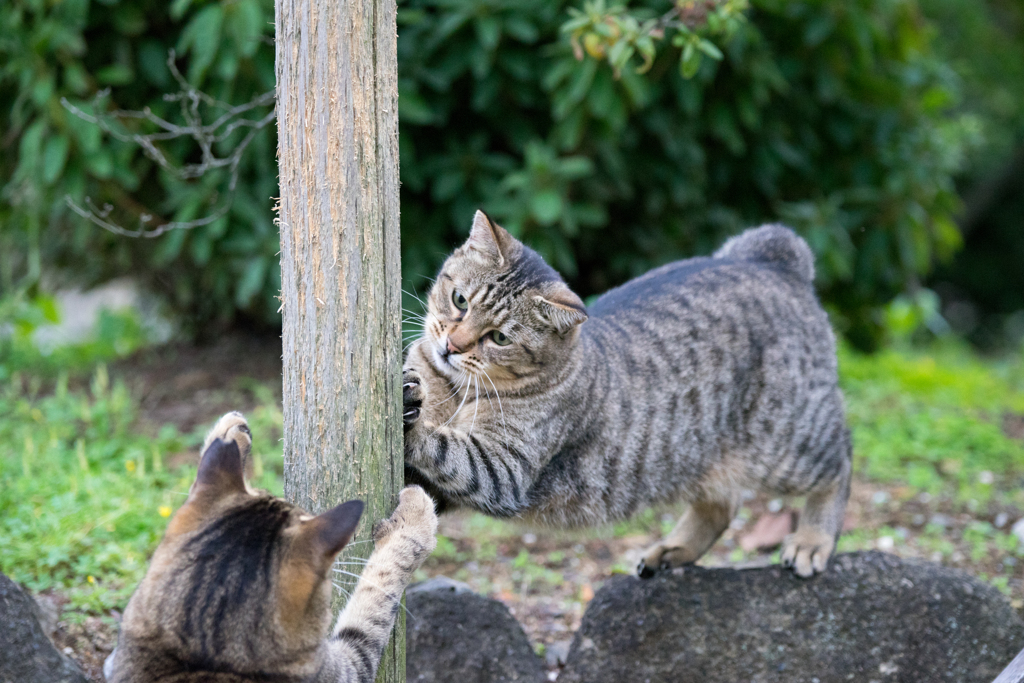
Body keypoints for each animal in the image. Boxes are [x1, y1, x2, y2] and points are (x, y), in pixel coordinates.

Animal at [403, 210, 851, 581]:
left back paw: (812, 540)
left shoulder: (503, 470)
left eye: (498, 338)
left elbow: (445, 448)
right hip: (700, 455)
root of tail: (771, 261)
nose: (452, 346)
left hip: (787, 442)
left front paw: (416, 424)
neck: (456, 388)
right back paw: (672, 551)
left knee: (840, 458)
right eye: (459, 300)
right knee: (723, 504)